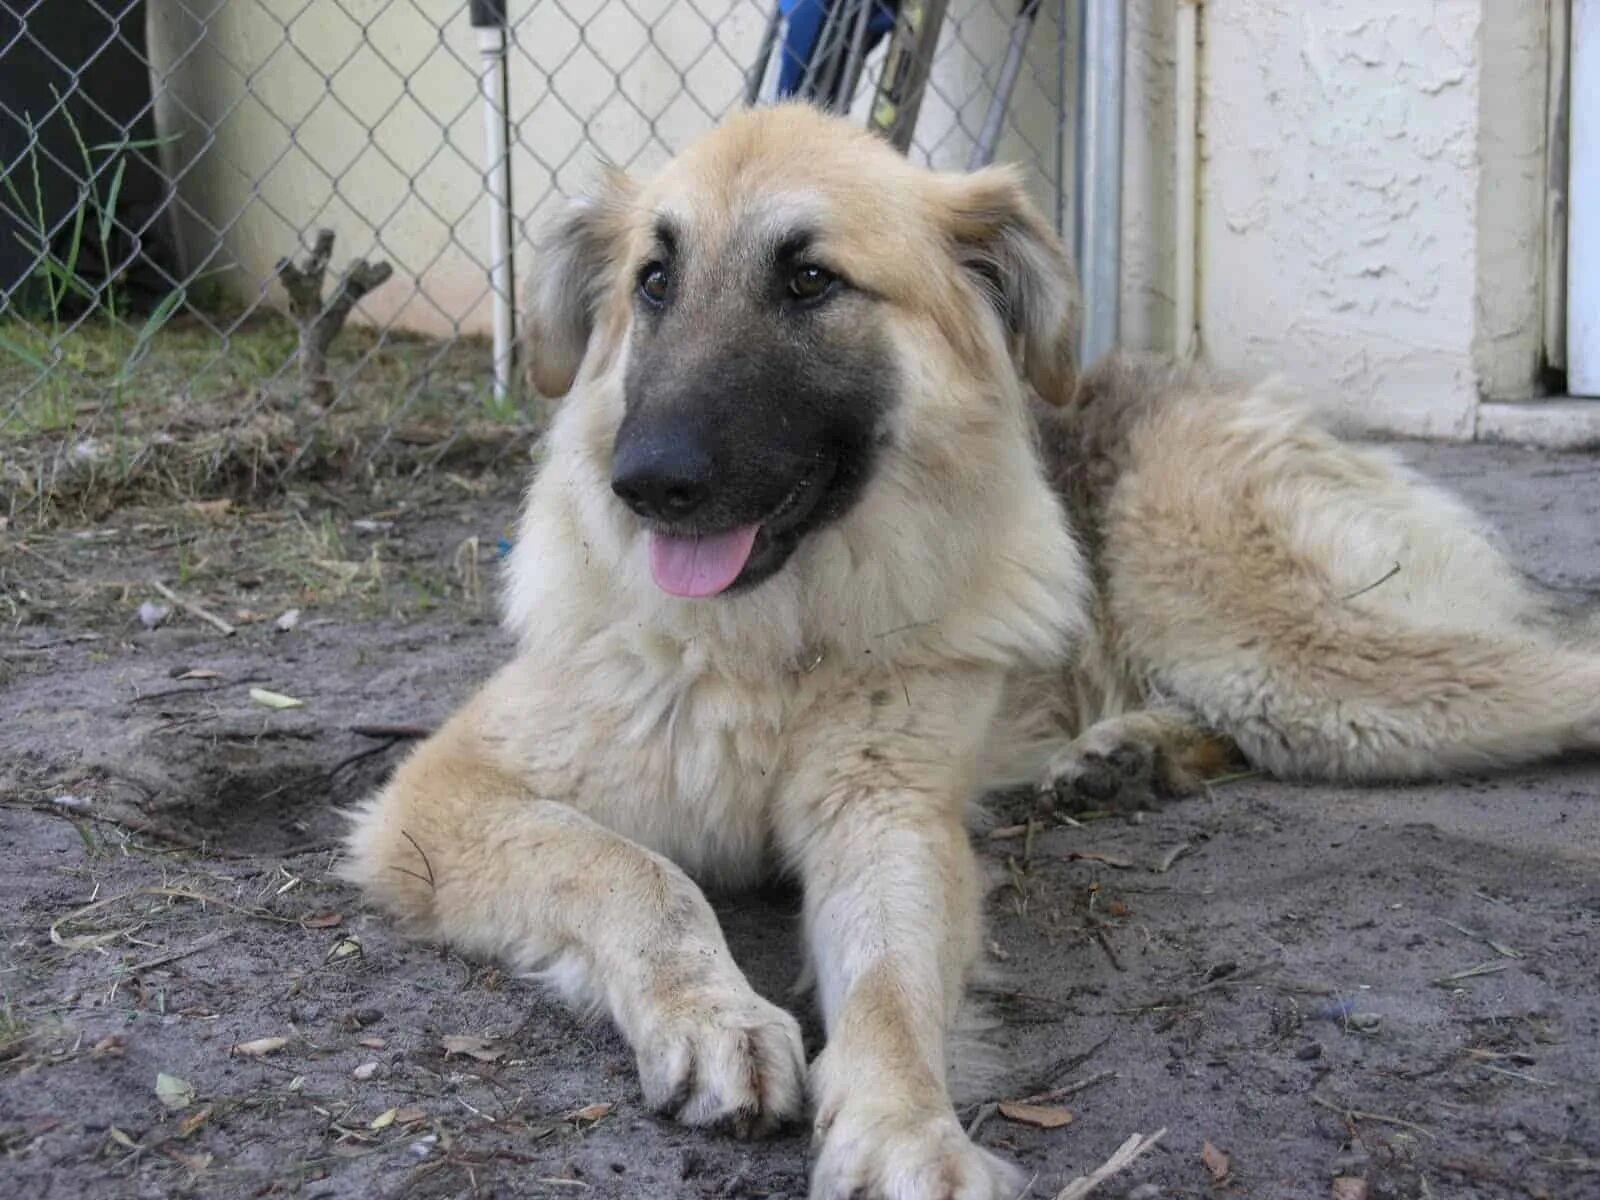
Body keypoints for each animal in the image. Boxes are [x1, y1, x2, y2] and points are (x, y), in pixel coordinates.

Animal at [337, 101, 1600, 1200]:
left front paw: (904, 1129)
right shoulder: (444, 796)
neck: (772, 650)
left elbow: (891, 988)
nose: (644, 484)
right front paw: (714, 1016)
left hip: (1281, 654)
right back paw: (1128, 756)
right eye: (654, 283)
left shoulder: (889, 815)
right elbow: (636, 873)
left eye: (809, 280)